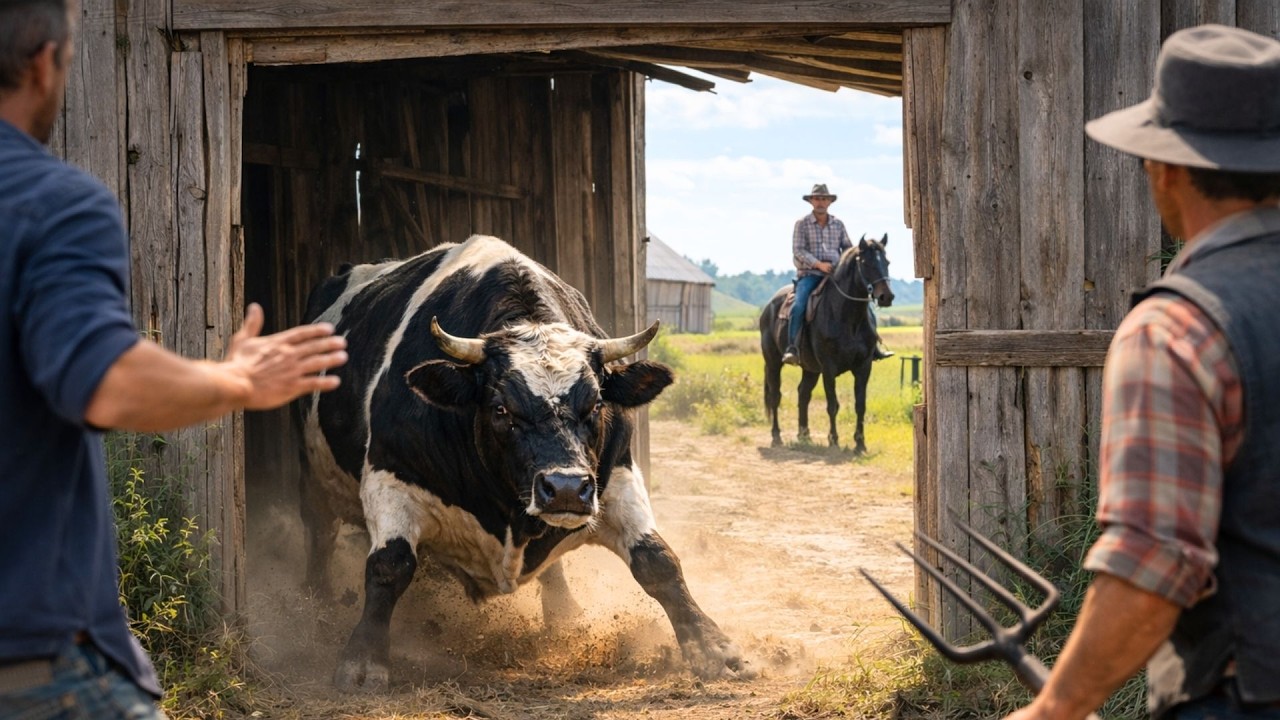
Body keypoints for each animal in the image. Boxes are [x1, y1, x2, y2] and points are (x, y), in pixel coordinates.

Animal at [299, 234, 743, 692]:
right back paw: (317, 601)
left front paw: (713, 648)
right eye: (500, 409)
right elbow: (389, 565)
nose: (565, 488)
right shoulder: (389, 476)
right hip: (312, 477)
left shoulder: (616, 475)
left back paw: (565, 616)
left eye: (596, 404)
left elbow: (658, 561)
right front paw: (363, 659)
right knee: (320, 534)